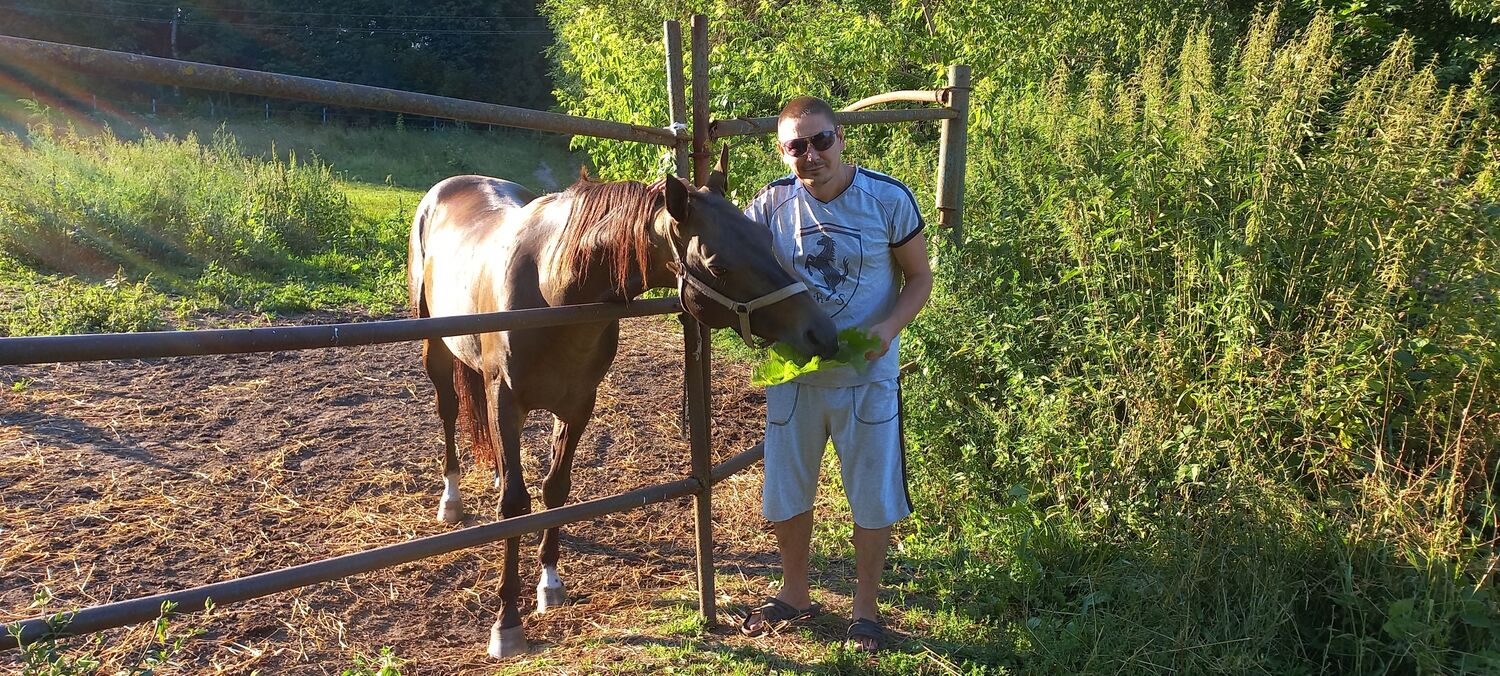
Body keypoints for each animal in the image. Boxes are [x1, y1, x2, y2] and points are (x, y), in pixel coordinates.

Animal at [405, 161, 840, 659]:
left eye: (766, 238)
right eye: (717, 264)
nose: (821, 334)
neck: (552, 287)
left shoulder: (577, 405)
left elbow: (555, 491)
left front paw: (550, 583)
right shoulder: (505, 402)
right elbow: (515, 506)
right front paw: (507, 622)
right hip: (435, 348)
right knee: (448, 411)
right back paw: (451, 500)